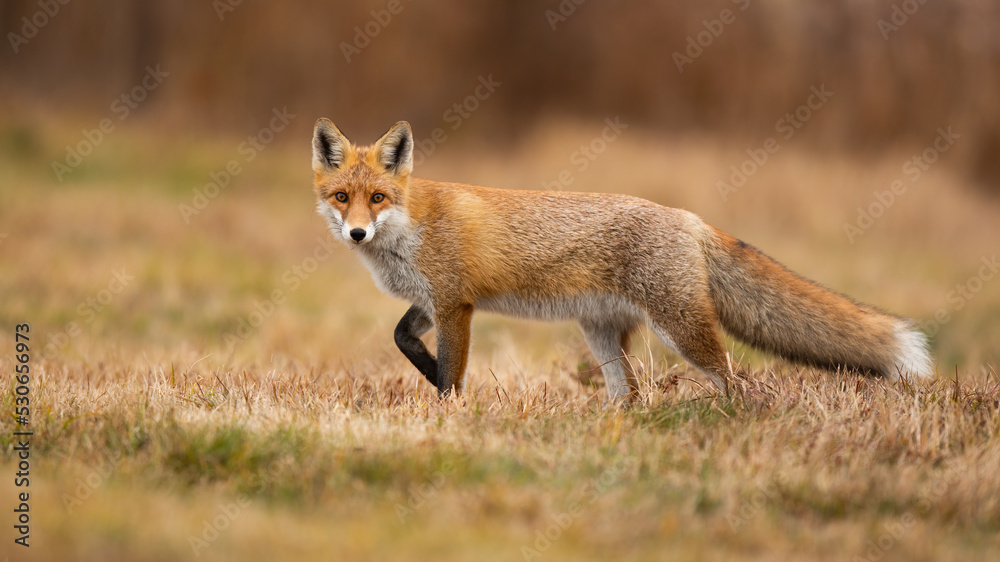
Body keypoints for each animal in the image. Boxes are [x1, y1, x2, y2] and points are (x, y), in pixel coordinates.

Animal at [312, 118, 936, 400]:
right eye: (342, 197)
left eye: (378, 198)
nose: (358, 233)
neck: (408, 231)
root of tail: (689, 217)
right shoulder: (431, 301)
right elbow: (402, 339)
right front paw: (425, 374)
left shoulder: (455, 305)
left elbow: (450, 372)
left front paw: (450, 408)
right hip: (602, 333)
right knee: (630, 392)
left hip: (682, 329)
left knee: (732, 377)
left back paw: (734, 417)